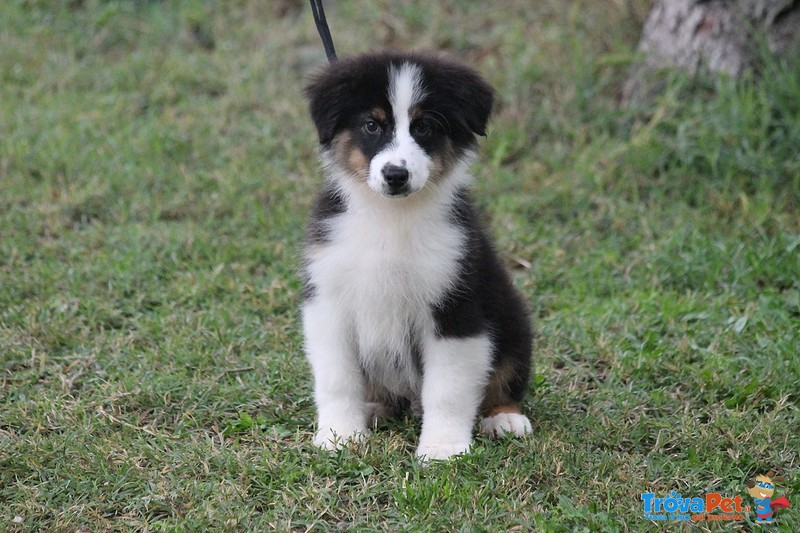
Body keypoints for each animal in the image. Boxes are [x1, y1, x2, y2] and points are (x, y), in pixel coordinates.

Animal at [300, 52, 532, 460]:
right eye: (372, 125)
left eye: (424, 126)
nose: (396, 175)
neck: (392, 218)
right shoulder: (328, 300)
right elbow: (336, 378)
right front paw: (339, 436)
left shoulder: (455, 306)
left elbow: (448, 387)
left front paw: (442, 448)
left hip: (512, 316)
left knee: (506, 375)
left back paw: (505, 418)